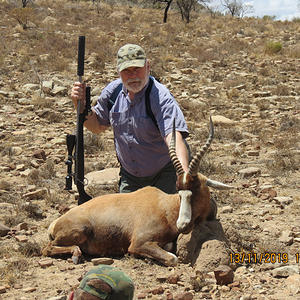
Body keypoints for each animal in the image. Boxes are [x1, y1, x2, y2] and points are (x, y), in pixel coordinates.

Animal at [41, 118, 232, 266]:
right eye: (179, 192)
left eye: (196, 188)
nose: (182, 225)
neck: (165, 207)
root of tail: (55, 222)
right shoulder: (139, 242)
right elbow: (172, 258)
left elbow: (170, 248)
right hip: (79, 231)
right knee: (47, 248)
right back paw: (75, 254)